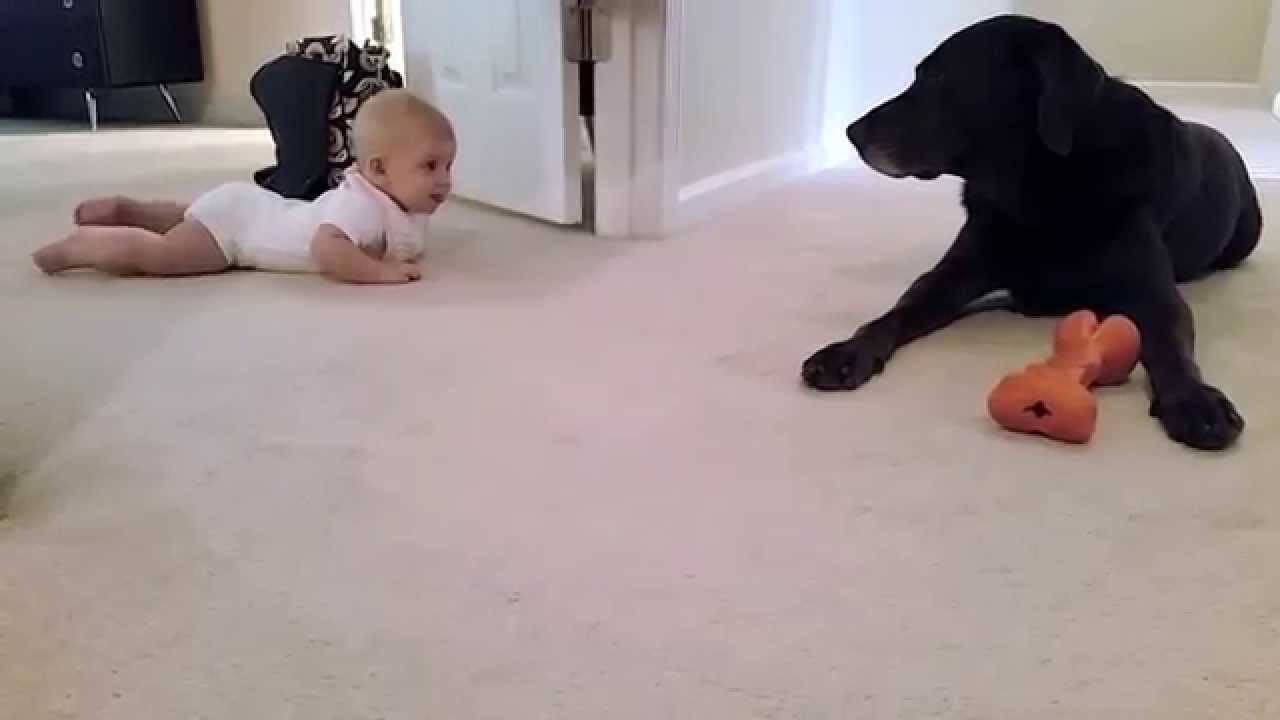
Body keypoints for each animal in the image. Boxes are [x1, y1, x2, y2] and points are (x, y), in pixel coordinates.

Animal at [798, 14, 1259, 448]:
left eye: (939, 78)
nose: (851, 133)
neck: (1041, 186)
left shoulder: (1153, 294)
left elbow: (1169, 344)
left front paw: (1194, 400)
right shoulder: (953, 274)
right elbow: (897, 311)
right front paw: (847, 352)